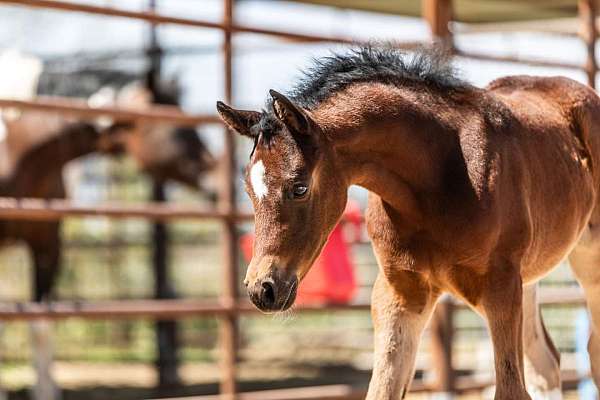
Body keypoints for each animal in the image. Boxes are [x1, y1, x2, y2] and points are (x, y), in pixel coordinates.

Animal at [218, 45, 600, 398]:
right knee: (546, 365)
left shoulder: (500, 286)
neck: (437, 177)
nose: (261, 289)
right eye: (248, 190)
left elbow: (510, 389)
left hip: (585, 261)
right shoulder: (400, 292)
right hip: (529, 276)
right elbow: (382, 389)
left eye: (299, 187)